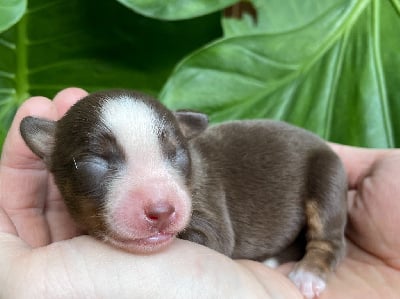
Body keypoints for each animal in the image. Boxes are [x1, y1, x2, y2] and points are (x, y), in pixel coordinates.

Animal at [20, 90, 346, 299]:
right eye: (94, 163)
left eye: (176, 154)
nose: (161, 211)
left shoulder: (211, 219)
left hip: (327, 173)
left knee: (329, 240)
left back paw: (308, 274)